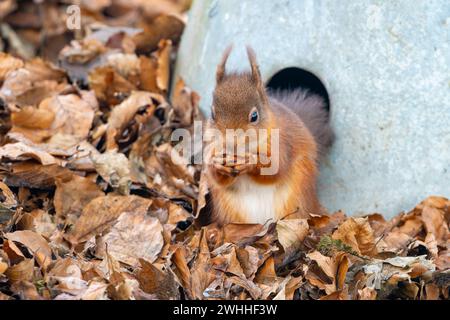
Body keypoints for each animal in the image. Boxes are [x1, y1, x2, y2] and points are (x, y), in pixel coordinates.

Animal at [206, 47, 332, 225]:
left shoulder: (282, 143)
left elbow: (276, 168)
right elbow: (216, 177)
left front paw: (251, 161)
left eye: (254, 116)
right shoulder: (211, 146)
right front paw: (217, 164)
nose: (230, 143)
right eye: (212, 114)